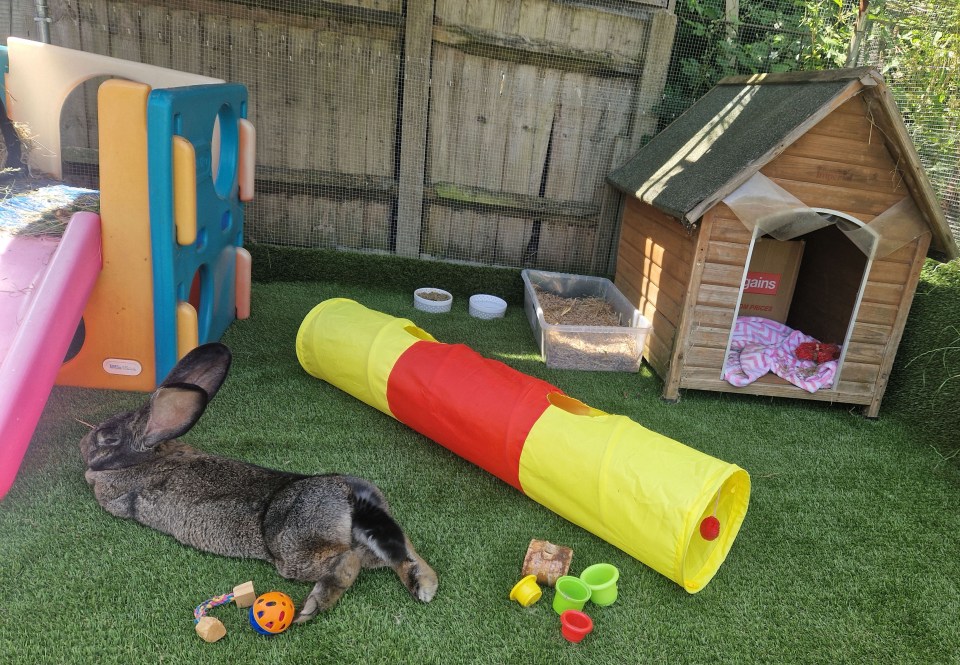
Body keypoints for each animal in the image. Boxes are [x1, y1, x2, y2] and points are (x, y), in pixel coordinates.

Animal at [79, 342, 438, 624]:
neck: (146, 456)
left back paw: (313, 606)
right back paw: (425, 586)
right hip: (374, 537)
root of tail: (349, 494)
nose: (82, 446)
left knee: (347, 562)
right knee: (403, 552)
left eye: (107, 438)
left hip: (295, 550)